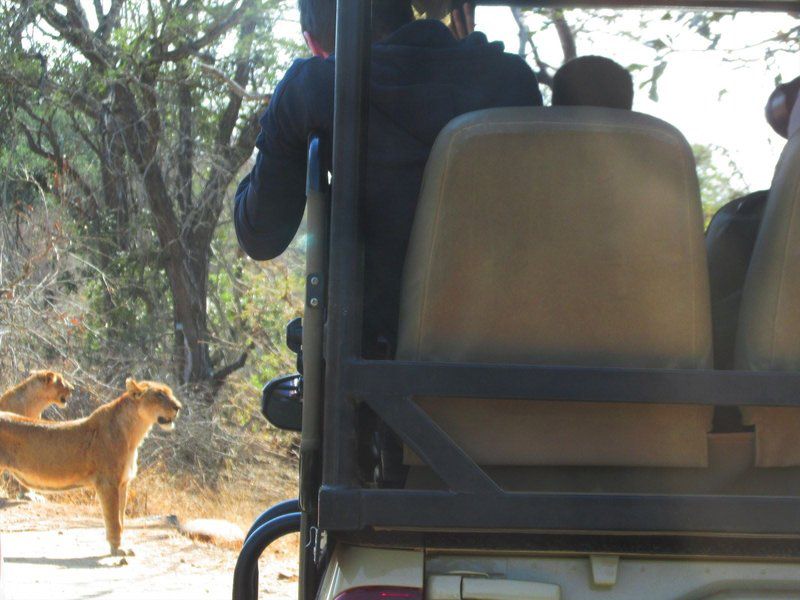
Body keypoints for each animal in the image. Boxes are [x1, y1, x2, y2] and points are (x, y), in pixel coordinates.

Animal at [0, 378, 181, 556]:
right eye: (159, 395)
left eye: (170, 393)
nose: (178, 407)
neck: (133, 433)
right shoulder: (108, 483)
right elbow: (114, 521)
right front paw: (117, 549)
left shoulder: (123, 483)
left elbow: (121, 519)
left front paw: (120, 547)